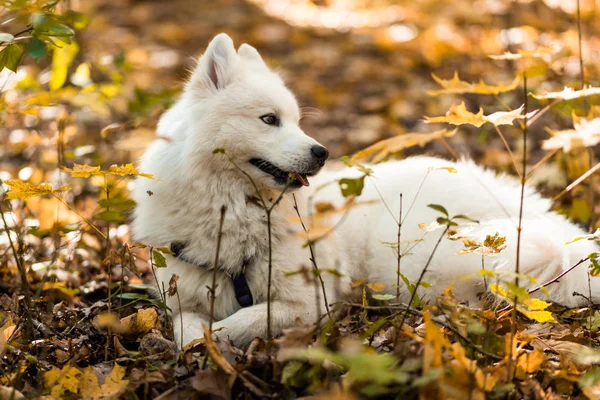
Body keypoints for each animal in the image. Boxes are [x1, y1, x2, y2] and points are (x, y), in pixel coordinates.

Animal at [135, 32, 600, 348]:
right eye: (269, 120)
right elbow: (186, 326)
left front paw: (221, 334)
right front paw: (200, 342)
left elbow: (250, 317)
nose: (321, 152)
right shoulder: (181, 295)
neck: (234, 211)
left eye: (297, 121)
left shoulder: (309, 301)